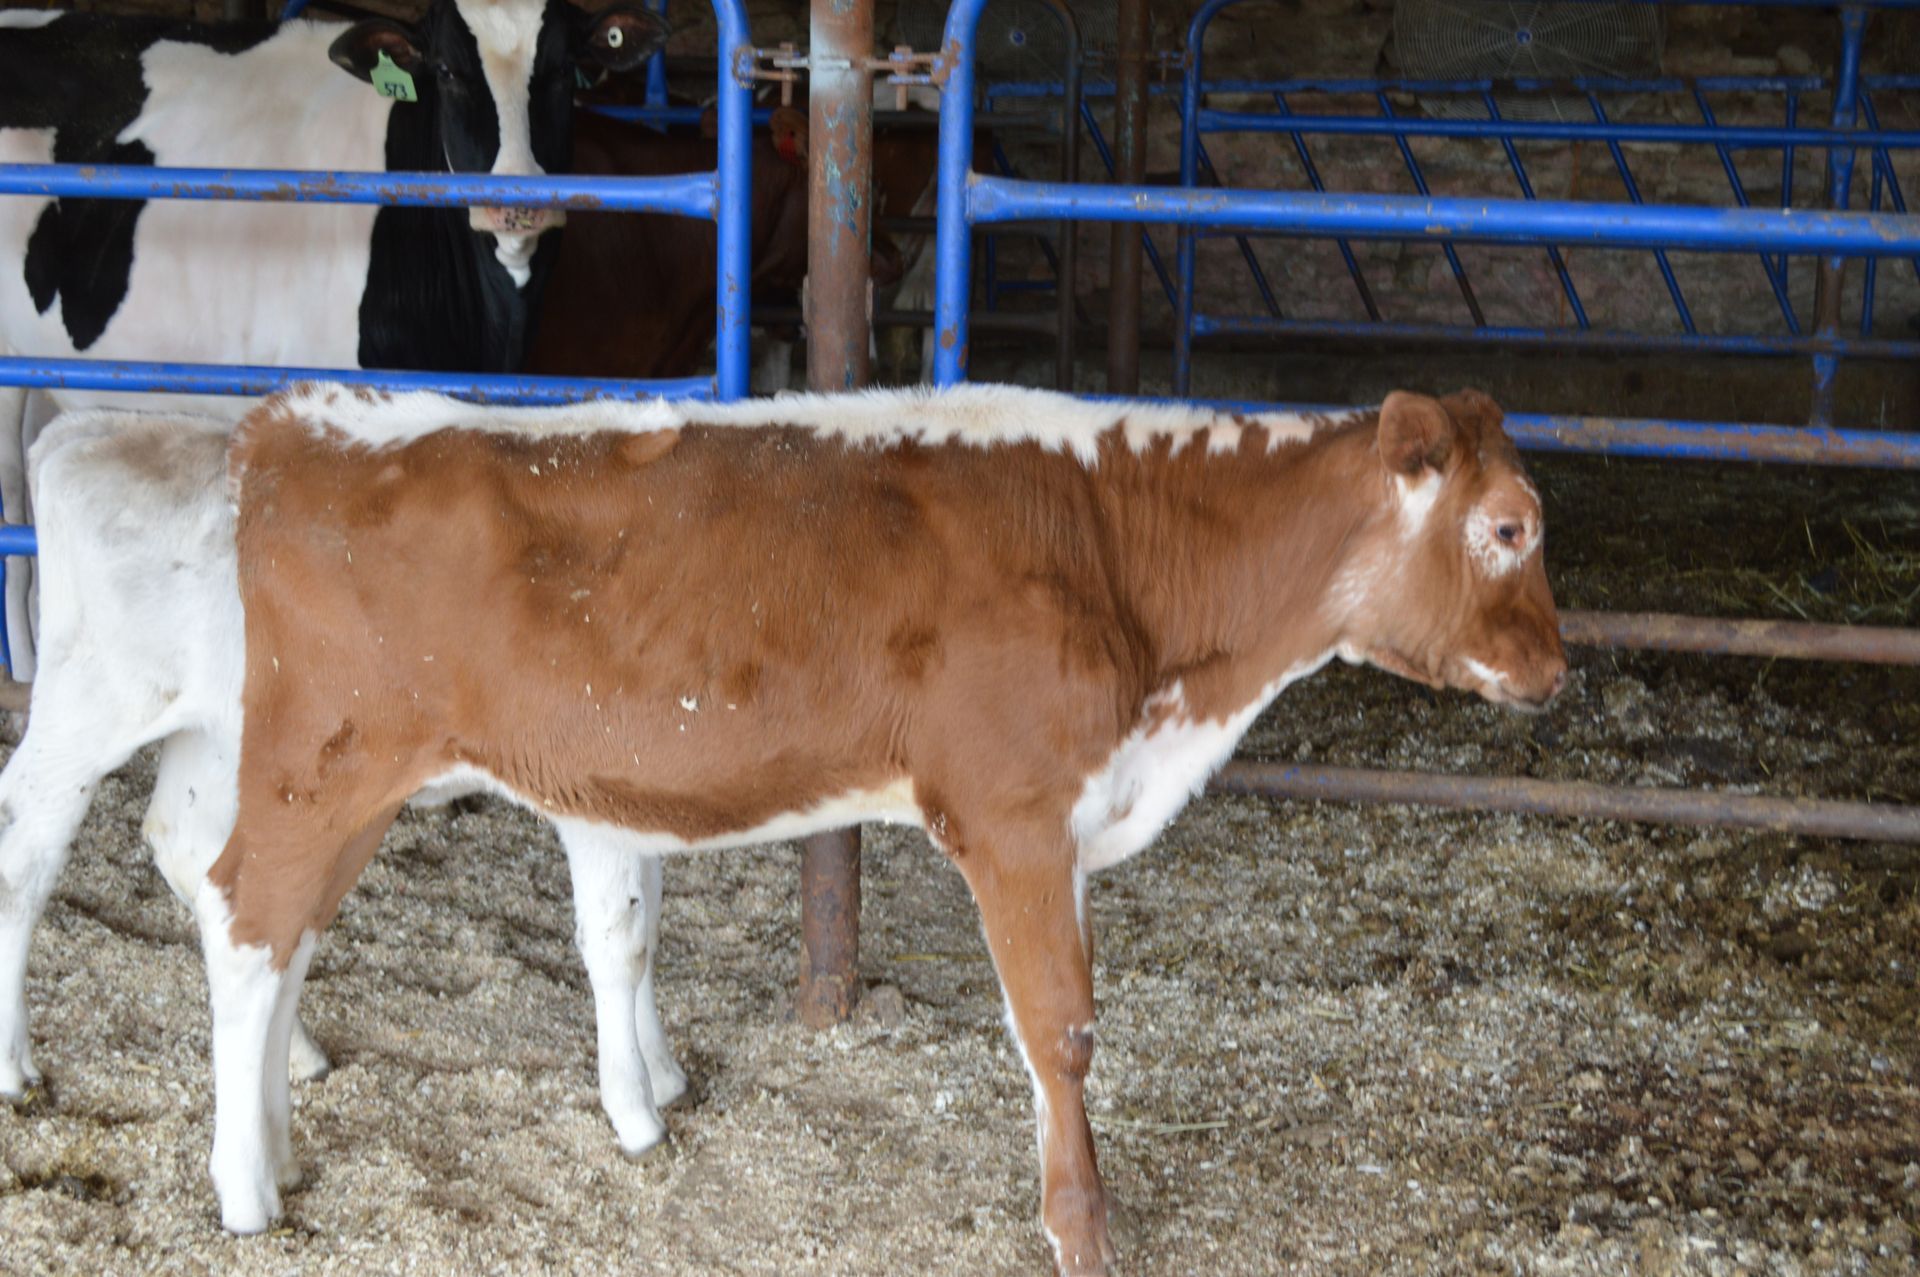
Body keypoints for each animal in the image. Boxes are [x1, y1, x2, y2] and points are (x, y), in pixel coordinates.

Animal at [0, 408, 688, 1164]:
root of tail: (88, 429)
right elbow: (623, 937)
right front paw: (637, 1110)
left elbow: (650, 918)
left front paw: (661, 1071)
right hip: (93, 706)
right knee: (26, 853)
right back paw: (14, 1065)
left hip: (216, 737)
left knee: (186, 847)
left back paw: (296, 1052)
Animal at [189, 381, 1565, 1265]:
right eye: (1508, 527)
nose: (1555, 669)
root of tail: (300, 424)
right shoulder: (1014, 811)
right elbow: (1059, 1026)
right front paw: (1081, 1228)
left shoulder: (1063, 817)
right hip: (326, 764)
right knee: (249, 922)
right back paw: (246, 1186)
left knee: (284, 936)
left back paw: (278, 1147)